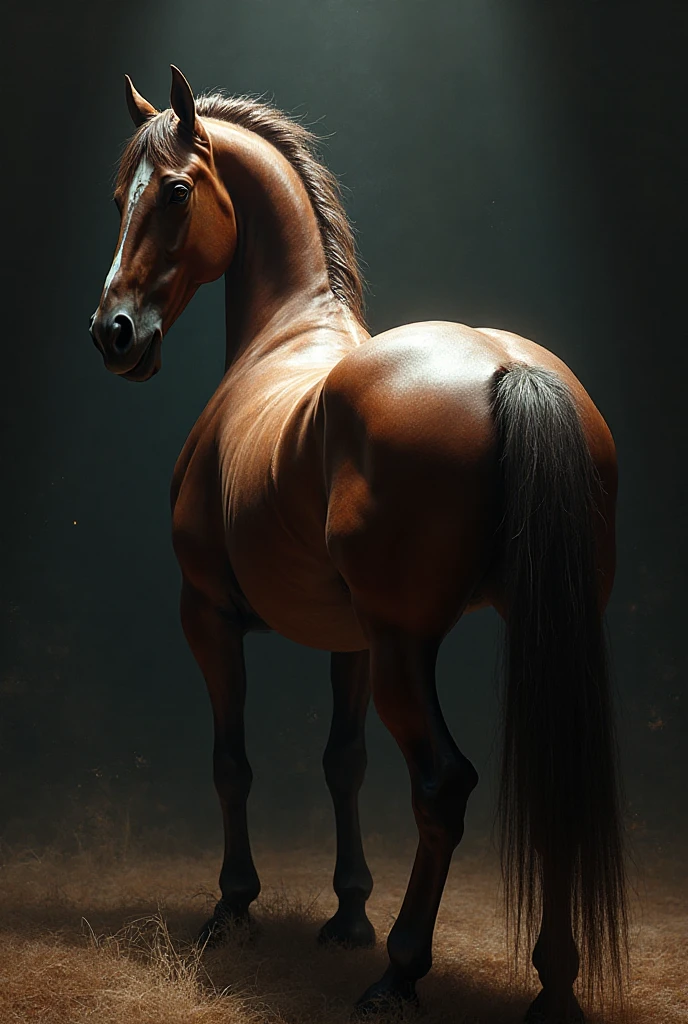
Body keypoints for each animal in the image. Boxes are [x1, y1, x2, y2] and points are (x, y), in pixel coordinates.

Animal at [89, 66, 628, 1022]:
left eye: (177, 191)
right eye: (121, 198)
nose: (111, 332)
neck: (284, 335)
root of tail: (510, 368)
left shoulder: (209, 617)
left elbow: (231, 763)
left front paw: (233, 906)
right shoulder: (350, 643)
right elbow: (344, 763)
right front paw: (346, 912)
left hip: (407, 652)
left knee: (443, 785)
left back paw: (402, 970)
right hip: (520, 631)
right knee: (549, 779)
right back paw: (555, 983)